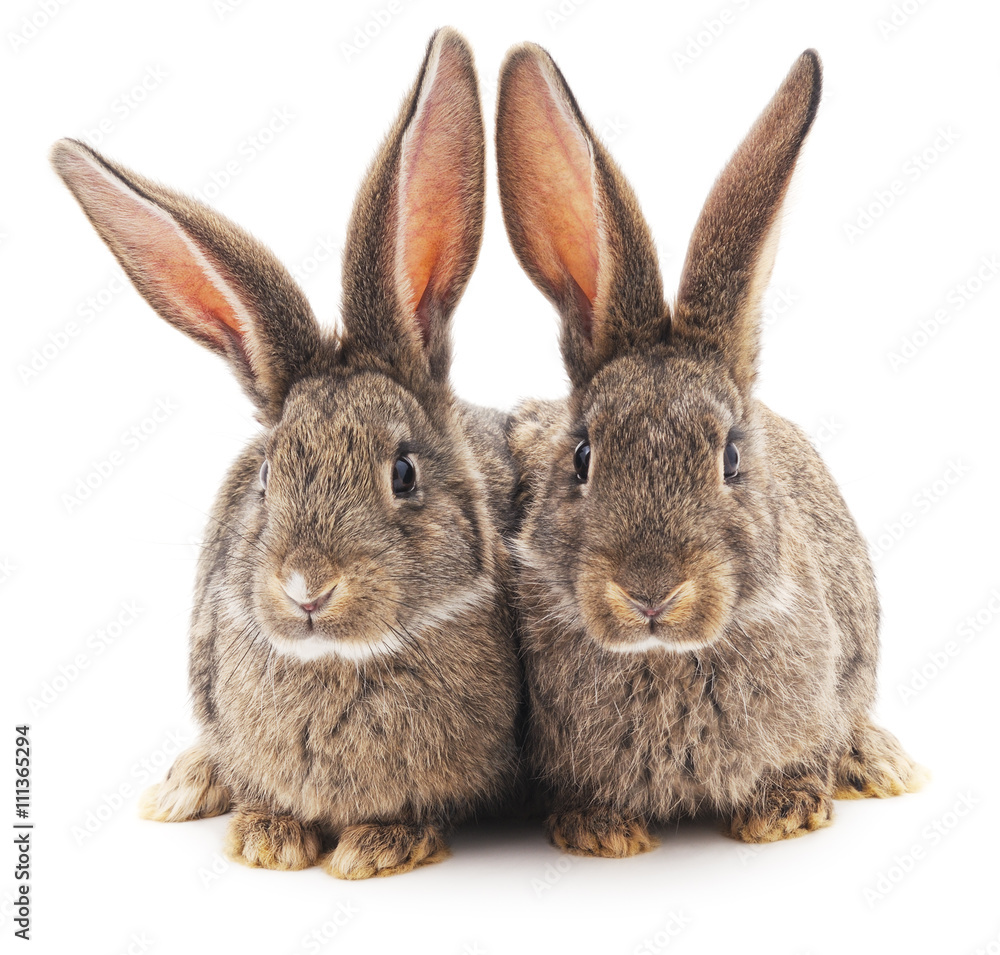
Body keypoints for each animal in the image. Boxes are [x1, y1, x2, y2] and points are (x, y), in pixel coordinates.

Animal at [51, 27, 522, 880]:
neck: (340, 658)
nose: (307, 585)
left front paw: (373, 847)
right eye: (268, 474)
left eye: (404, 473)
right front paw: (266, 838)